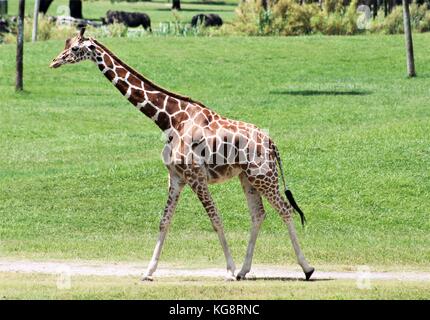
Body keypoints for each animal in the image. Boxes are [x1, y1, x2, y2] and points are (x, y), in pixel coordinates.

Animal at [51, 28, 316, 282]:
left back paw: (306, 268)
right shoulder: (176, 177)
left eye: (74, 48)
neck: (169, 120)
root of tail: (272, 143)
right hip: (247, 178)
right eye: (66, 44)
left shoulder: (196, 176)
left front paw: (229, 271)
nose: (54, 61)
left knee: (285, 209)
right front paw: (148, 272)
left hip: (264, 175)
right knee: (258, 215)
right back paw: (244, 270)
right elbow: (164, 221)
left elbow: (215, 219)